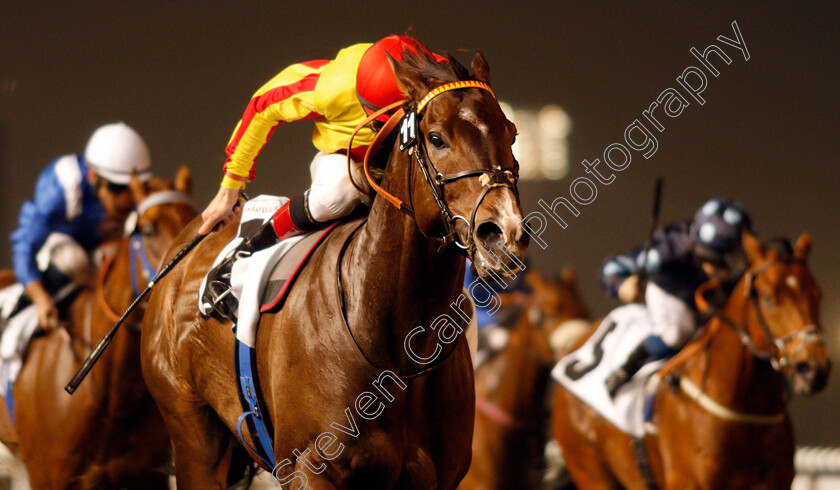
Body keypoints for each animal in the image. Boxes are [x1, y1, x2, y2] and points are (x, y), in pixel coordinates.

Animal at [141, 48, 528, 486]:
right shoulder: (308, 466)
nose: (503, 232)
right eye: (436, 138)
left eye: (511, 132)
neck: (398, 350)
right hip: (192, 433)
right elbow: (267, 104)